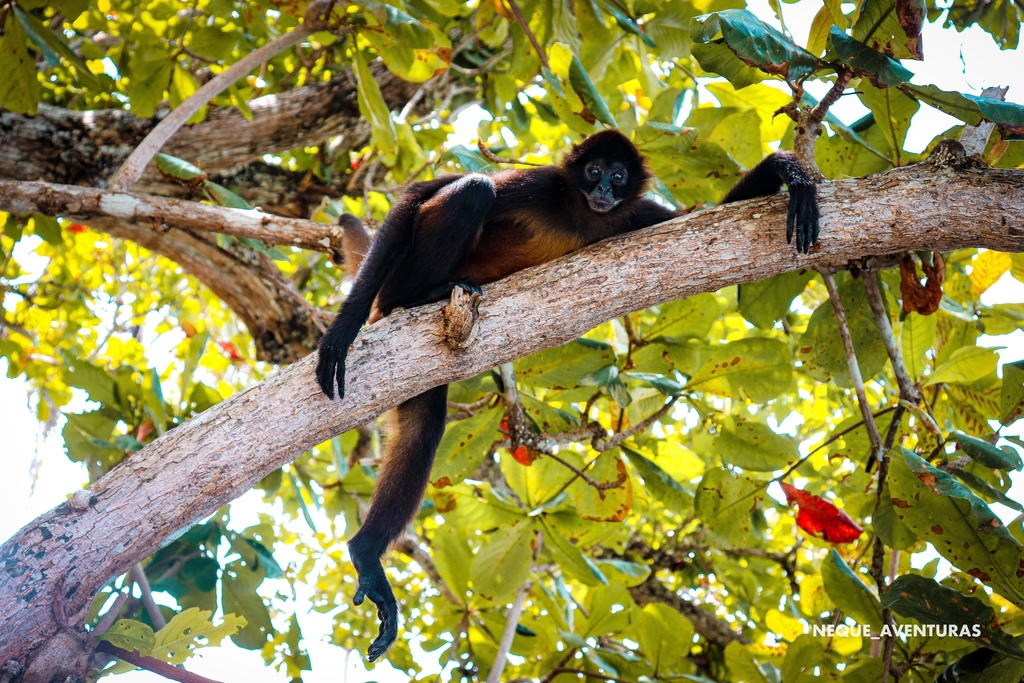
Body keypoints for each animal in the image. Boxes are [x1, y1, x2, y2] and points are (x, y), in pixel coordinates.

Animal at [315, 129, 819, 663]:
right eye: (594, 171)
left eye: (618, 175)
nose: (604, 190)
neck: (582, 213)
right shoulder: (542, 185)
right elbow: (417, 193)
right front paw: (340, 332)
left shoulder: (631, 216)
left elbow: (707, 220)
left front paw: (788, 171)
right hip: (398, 277)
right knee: (472, 190)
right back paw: (411, 299)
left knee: (421, 429)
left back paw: (367, 553)